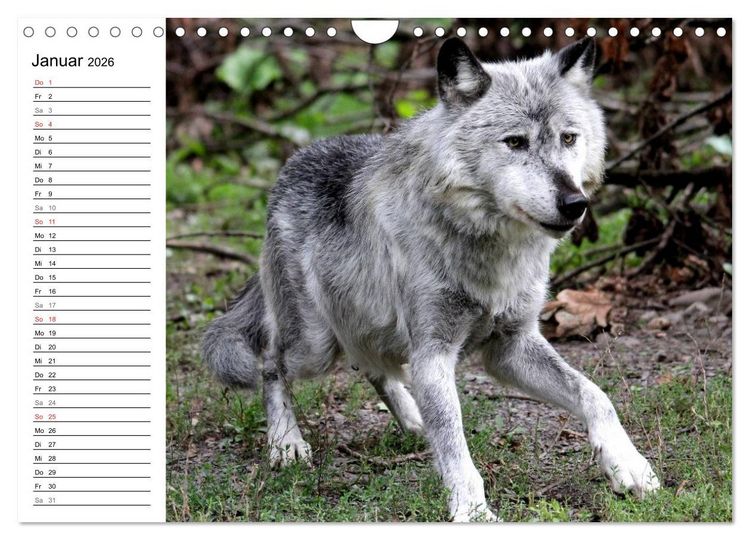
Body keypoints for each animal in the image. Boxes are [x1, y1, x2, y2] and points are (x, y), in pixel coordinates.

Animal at [203, 37, 660, 521]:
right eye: (515, 142)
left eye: (569, 138)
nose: (575, 203)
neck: (490, 250)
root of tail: (291, 165)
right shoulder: (434, 353)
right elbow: (455, 442)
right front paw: (472, 511)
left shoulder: (510, 347)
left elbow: (596, 395)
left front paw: (629, 465)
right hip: (314, 344)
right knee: (271, 363)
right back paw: (286, 443)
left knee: (374, 368)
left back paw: (412, 418)